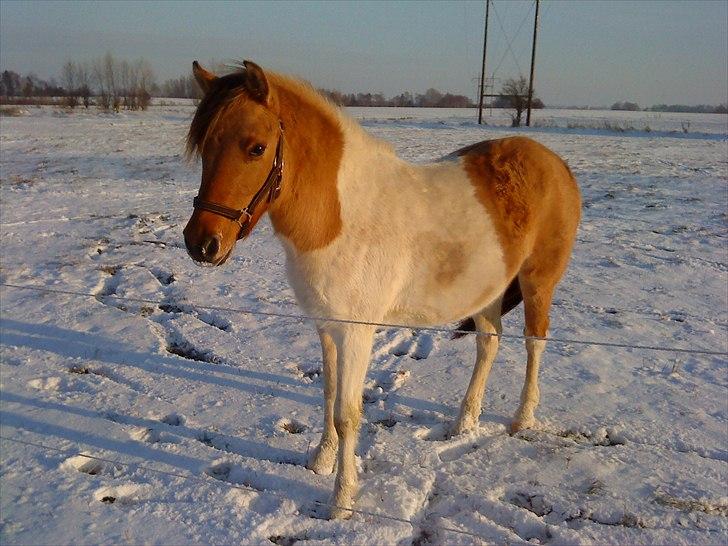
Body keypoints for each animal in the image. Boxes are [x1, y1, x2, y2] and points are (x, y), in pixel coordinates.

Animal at [182, 60, 580, 520]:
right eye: (204, 146)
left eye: (256, 148)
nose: (201, 244)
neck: (342, 217)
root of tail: (556, 164)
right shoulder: (327, 327)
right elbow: (328, 395)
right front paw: (320, 461)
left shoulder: (356, 332)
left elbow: (347, 414)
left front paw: (342, 501)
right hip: (488, 288)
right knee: (489, 343)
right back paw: (464, 422)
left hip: (537, 282)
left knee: (535, 342)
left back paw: (521, 418)